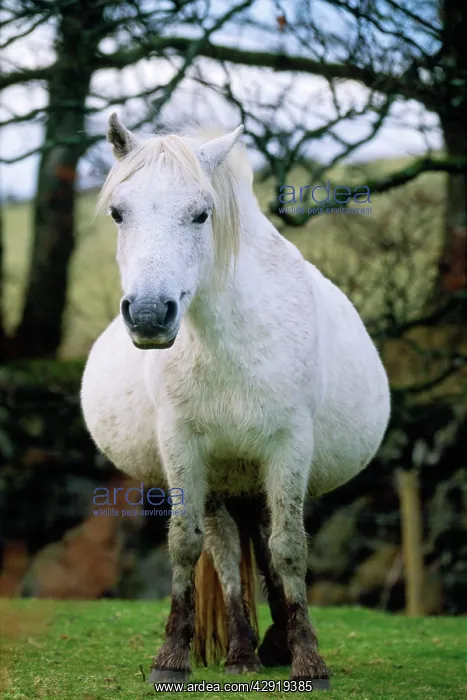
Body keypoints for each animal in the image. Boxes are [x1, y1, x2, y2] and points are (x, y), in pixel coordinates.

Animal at [81, 112, 390, 690]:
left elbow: (289, 549)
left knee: (265, 543)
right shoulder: (185, 449)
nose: (150, 315)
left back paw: (277, 644)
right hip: (224, 479)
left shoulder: (289, 448)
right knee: (226, 548)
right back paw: (243, 652)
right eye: (117, 212)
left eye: (201, 214)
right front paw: (170, 659)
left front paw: (310, 662)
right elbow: (186, 544)